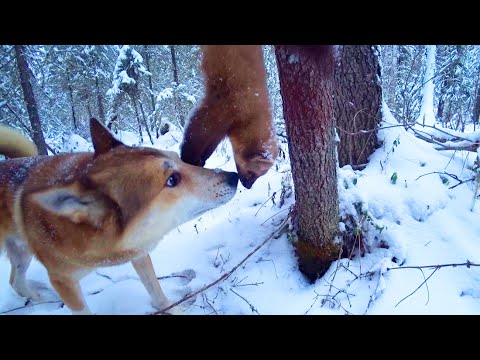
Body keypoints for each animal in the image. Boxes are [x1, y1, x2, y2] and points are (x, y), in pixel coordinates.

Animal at [0, 119, 237, 316]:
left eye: (179, 159)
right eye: (172, 180)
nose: (234, 177)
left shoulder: (139, 252)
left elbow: (157, 292)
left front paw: (174, 309)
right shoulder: (63, 281)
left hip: (22, 252)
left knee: (15, 281)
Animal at [180, 45, 278, 188]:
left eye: (261, 175)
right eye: (252, 172)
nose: (248, 187)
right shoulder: (223, 106)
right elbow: (197, 131)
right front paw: (189, 158)